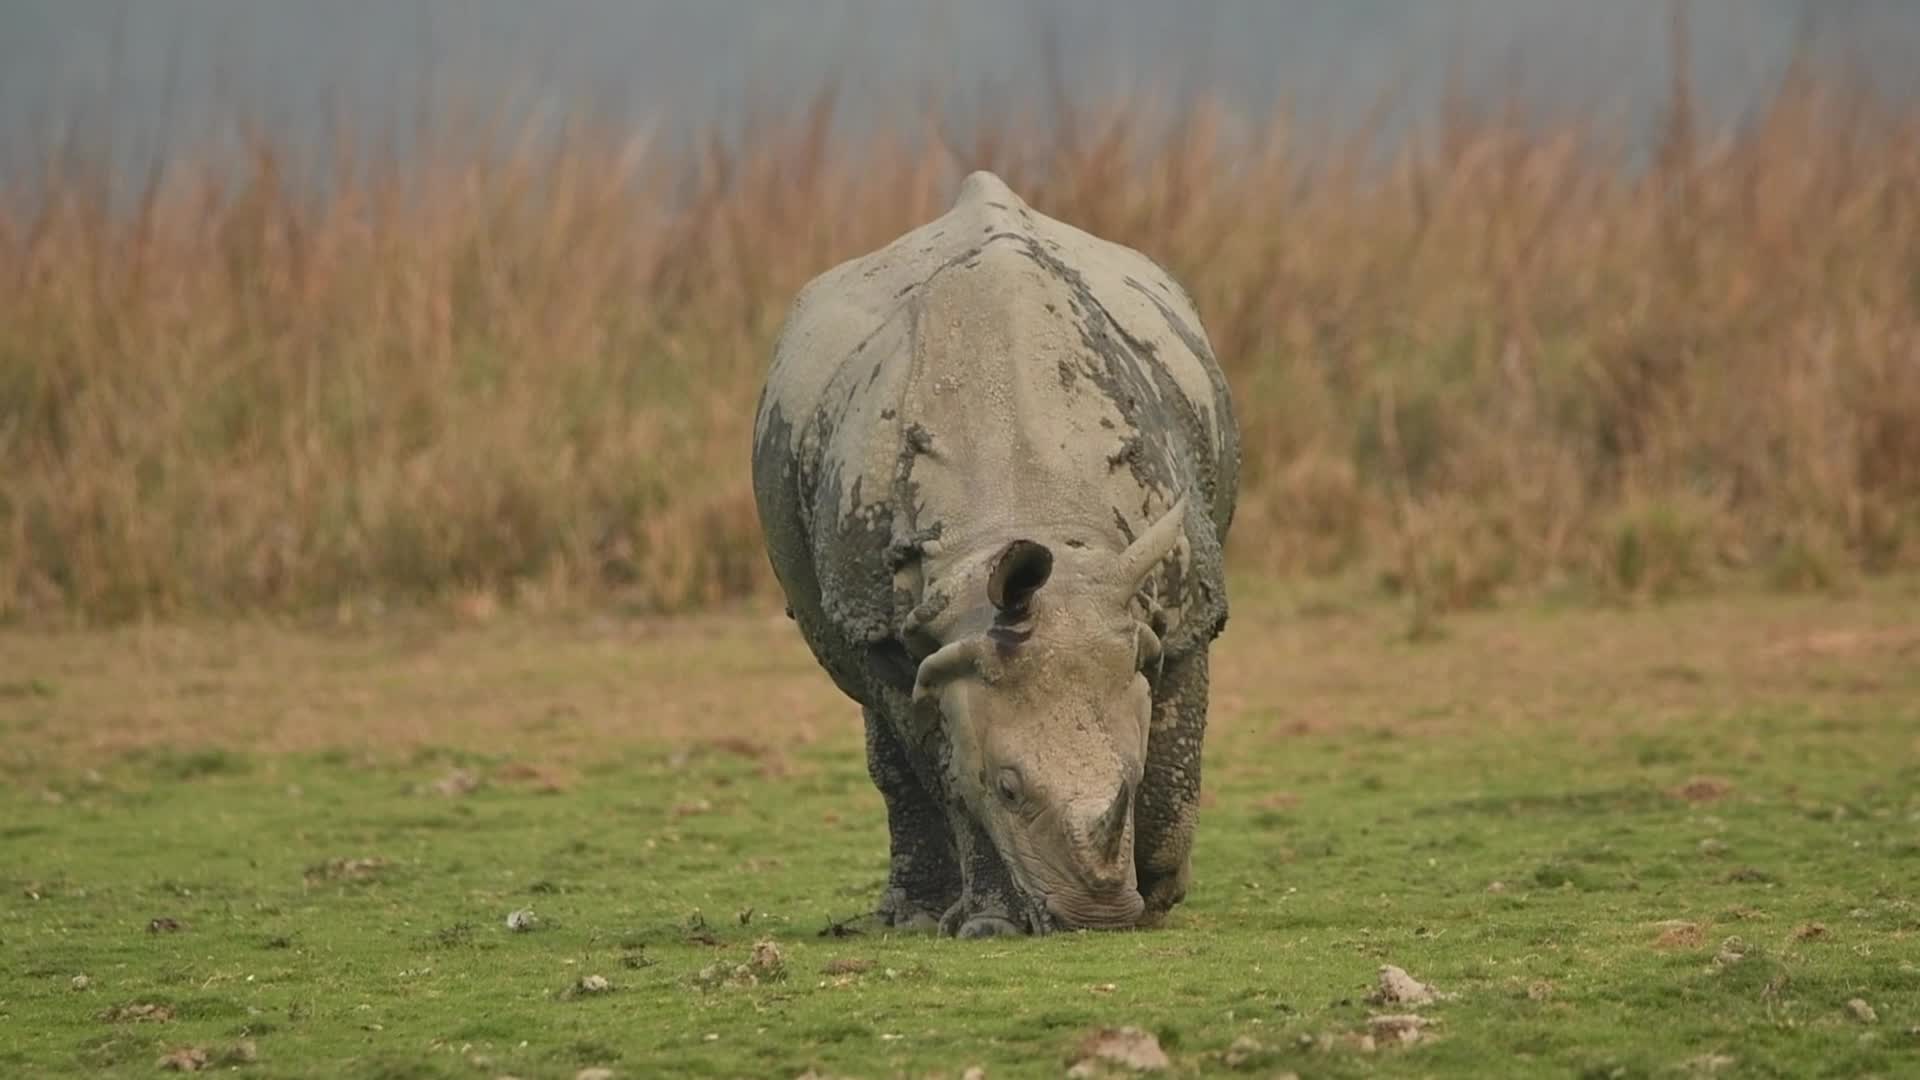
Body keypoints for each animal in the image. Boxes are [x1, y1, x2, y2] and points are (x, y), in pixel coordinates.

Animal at [751, 171, 1239, 937]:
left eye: (1127, 783)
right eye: (1008, 791)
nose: (1096, 916)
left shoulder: (1172, 605)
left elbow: (1173, 744)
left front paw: (1160, 893)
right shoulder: (918, 634)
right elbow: (951, 773)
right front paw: (991, 926)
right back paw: (915, 919)